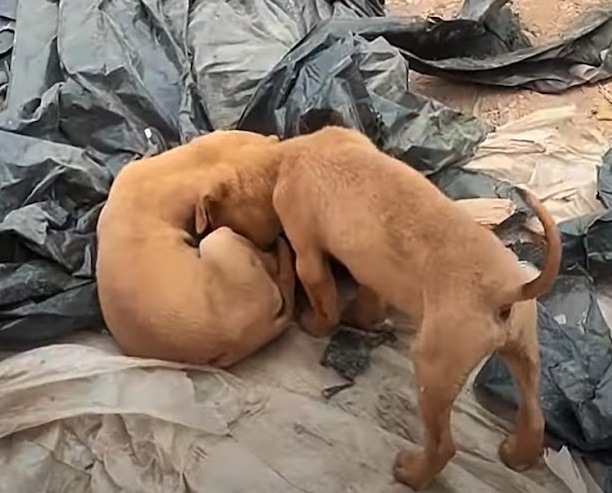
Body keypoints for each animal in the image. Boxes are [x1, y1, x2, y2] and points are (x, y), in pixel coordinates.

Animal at [270, 127, 560, 488]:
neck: (307, 148)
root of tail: (506, 290)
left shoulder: (308, 256)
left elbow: (325, 303)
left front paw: (313, 323)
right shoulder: (373, 271)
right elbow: (368, 298)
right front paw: (363, 318)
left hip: (433, 370)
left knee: (443, 446)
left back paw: (411, 473)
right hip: (523, 352)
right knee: (535, 417)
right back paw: (517, 456)